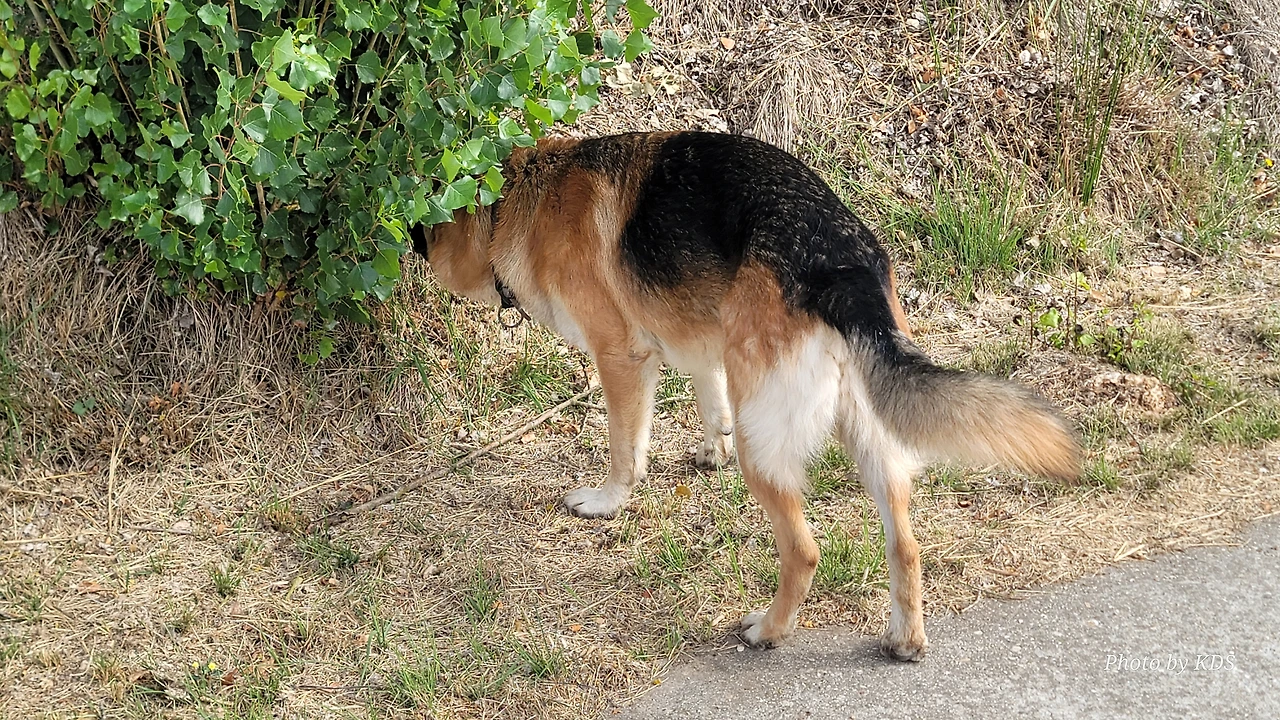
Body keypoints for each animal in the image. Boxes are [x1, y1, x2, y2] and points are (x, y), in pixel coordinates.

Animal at [413, 131, 1080, 661]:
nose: (412, 250)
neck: (519, 199)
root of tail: (841, 264)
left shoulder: (622, 359)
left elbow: (626, 450)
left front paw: (606, 501)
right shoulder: (701, 348)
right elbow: (710, 402)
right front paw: (711, 451)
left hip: (768, 455)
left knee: (804, 551)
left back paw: (768, 631)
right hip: (871, 440)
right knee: (906, 544)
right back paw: (904, 639)